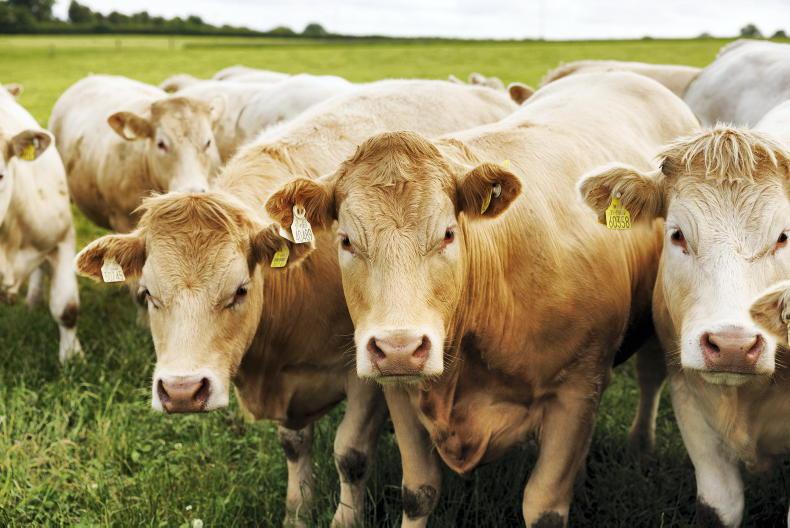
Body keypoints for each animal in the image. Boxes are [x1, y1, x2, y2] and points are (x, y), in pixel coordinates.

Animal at [74, 79, 517, 528]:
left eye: (240, 290)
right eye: (148, 295)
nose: (182, 391)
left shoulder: (366, 375)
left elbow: (350, 454)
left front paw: (345, 518)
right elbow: (294, 445)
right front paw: (298, 509)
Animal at [264, 72, 699, 526]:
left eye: (448, 234)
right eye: (346, 240)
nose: (399, 348)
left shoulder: (576, 390)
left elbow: (544, 508)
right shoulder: (399, 392)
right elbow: (417, 492)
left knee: (650, 376)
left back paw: (640, 446)